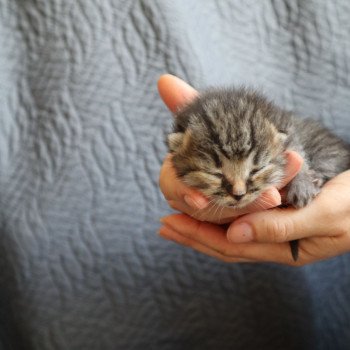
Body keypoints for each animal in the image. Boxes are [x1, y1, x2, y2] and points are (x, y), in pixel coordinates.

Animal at [166, 87, 350, 262]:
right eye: (216, 174)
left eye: (257, 170)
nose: (239, 194)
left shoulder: (291, 132)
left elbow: (299, 154)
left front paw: (302, 185)